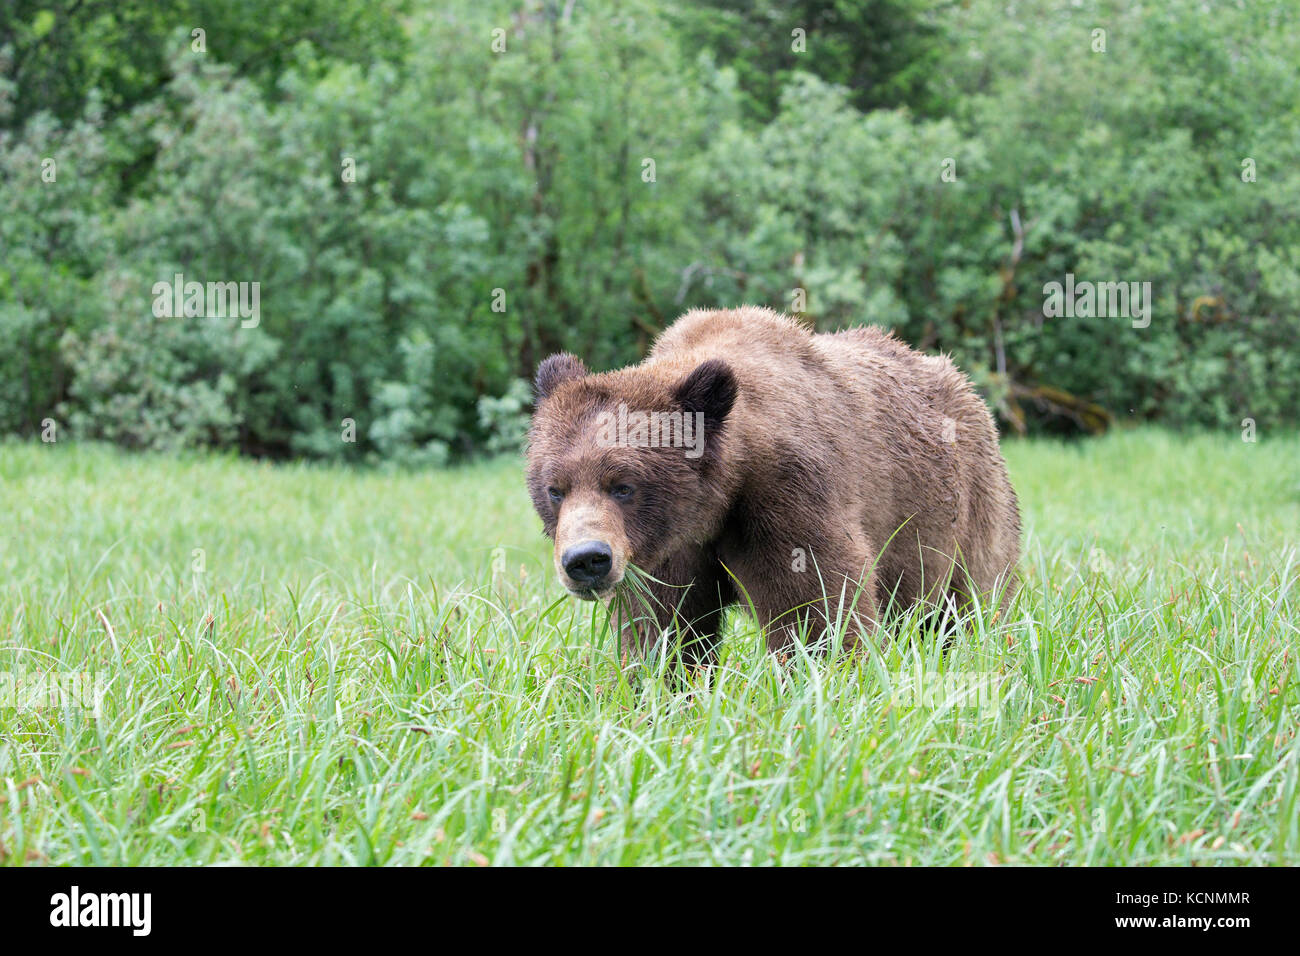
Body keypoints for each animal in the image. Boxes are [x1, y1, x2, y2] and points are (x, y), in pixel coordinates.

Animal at [522, 310, 1019, 671]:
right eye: (555, 488)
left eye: (624, 485)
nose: (587, 560)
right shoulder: (662, 551)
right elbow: (665, 629)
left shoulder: (786, 498)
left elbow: (816, 609)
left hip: (966, 503)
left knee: (976, 598)